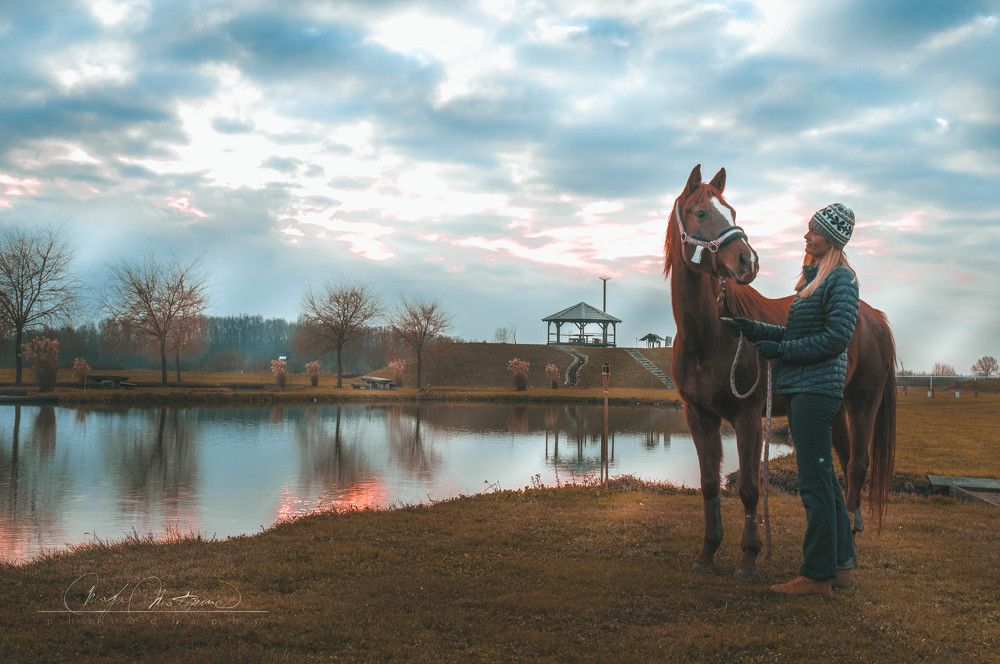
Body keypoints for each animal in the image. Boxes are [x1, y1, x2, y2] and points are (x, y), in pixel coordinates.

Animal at [664, 164, 897, 577]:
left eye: (733, 212)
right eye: (702, 213)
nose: (748, 261)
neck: (710, 334)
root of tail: (874, 317)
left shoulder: (747, 416)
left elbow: (749, 488)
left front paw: (749, 556)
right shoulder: (699, 416)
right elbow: (709, 484)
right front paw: (707, 552)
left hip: (863, 402)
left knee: (857, 464)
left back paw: (852, 534)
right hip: (834, 408)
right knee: (844, 459)